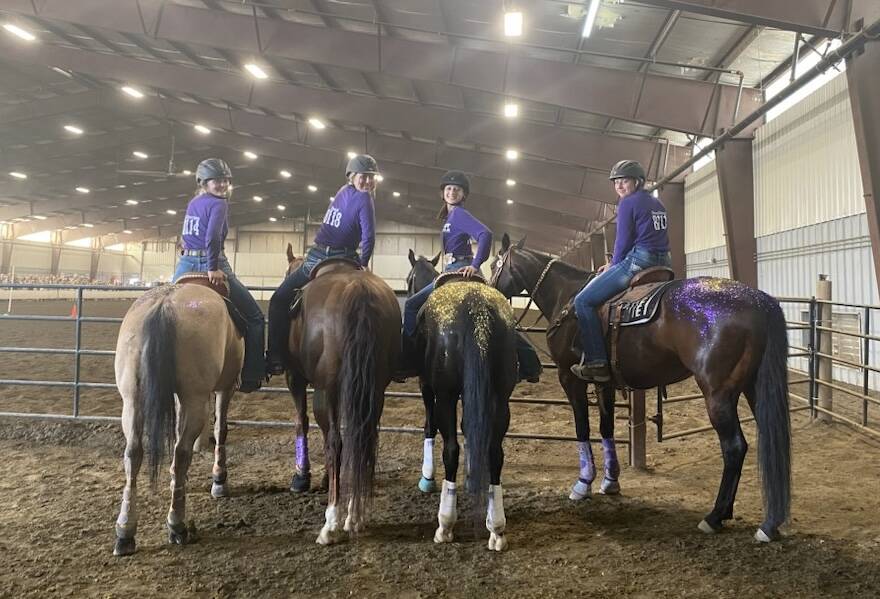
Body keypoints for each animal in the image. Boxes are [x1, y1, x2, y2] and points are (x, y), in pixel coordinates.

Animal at [112, 278, 248, 556]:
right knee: (182, 450)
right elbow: (220, 430)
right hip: (195, 398)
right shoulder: (225, 388)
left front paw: (178, 480)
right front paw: (219, 480)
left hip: (132, 400)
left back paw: (125, 531)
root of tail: (164, 304)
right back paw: (177, 525)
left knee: (133, 452)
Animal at [418, 274, 520, 552]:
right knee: (495, 453)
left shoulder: (427, 385)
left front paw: (427, 477)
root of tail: (477, 309)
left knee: (451, 450)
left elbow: (430, 426)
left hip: (446, 395)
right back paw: (496, 528)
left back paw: (445, 525)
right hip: (501, 398)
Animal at [492, 236, 796, 544]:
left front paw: (583, 484)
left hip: (718, 394)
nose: (491, 289)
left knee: (734, 447)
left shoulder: (570, 377)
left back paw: (715, 517)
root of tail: (759, 301)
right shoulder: (604, 381)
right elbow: (606, 428)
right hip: (754, 387)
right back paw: (770, 523)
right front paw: (610, 481)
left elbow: (582, 428)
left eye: (495, 264)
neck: (567, 296)